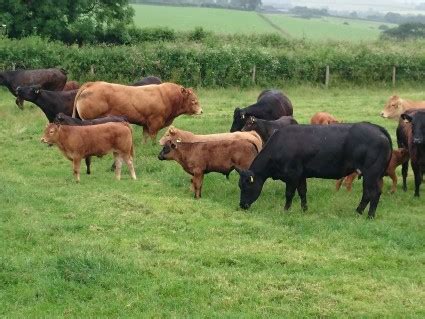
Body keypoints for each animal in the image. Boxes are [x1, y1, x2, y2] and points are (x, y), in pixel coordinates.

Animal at [72, 82, 200, 142]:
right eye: (194, 101)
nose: (201, 111)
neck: (167, 97)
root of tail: (92, 84)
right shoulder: (155, 122)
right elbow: (153, 137)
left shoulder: (146, 123)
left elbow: (145, 136)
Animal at [235, 123, 390, 220]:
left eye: (246, 185)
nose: (242, 205)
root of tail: (376, 128)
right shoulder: (301, 175)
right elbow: (302, 192)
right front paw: (304, 210)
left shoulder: (292, 175)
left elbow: (289, 194)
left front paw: (285, 210)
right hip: (376, 175)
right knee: (374, 193)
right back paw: (364, 213)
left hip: (371, 173)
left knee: (370, 193)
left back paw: (364, 214)